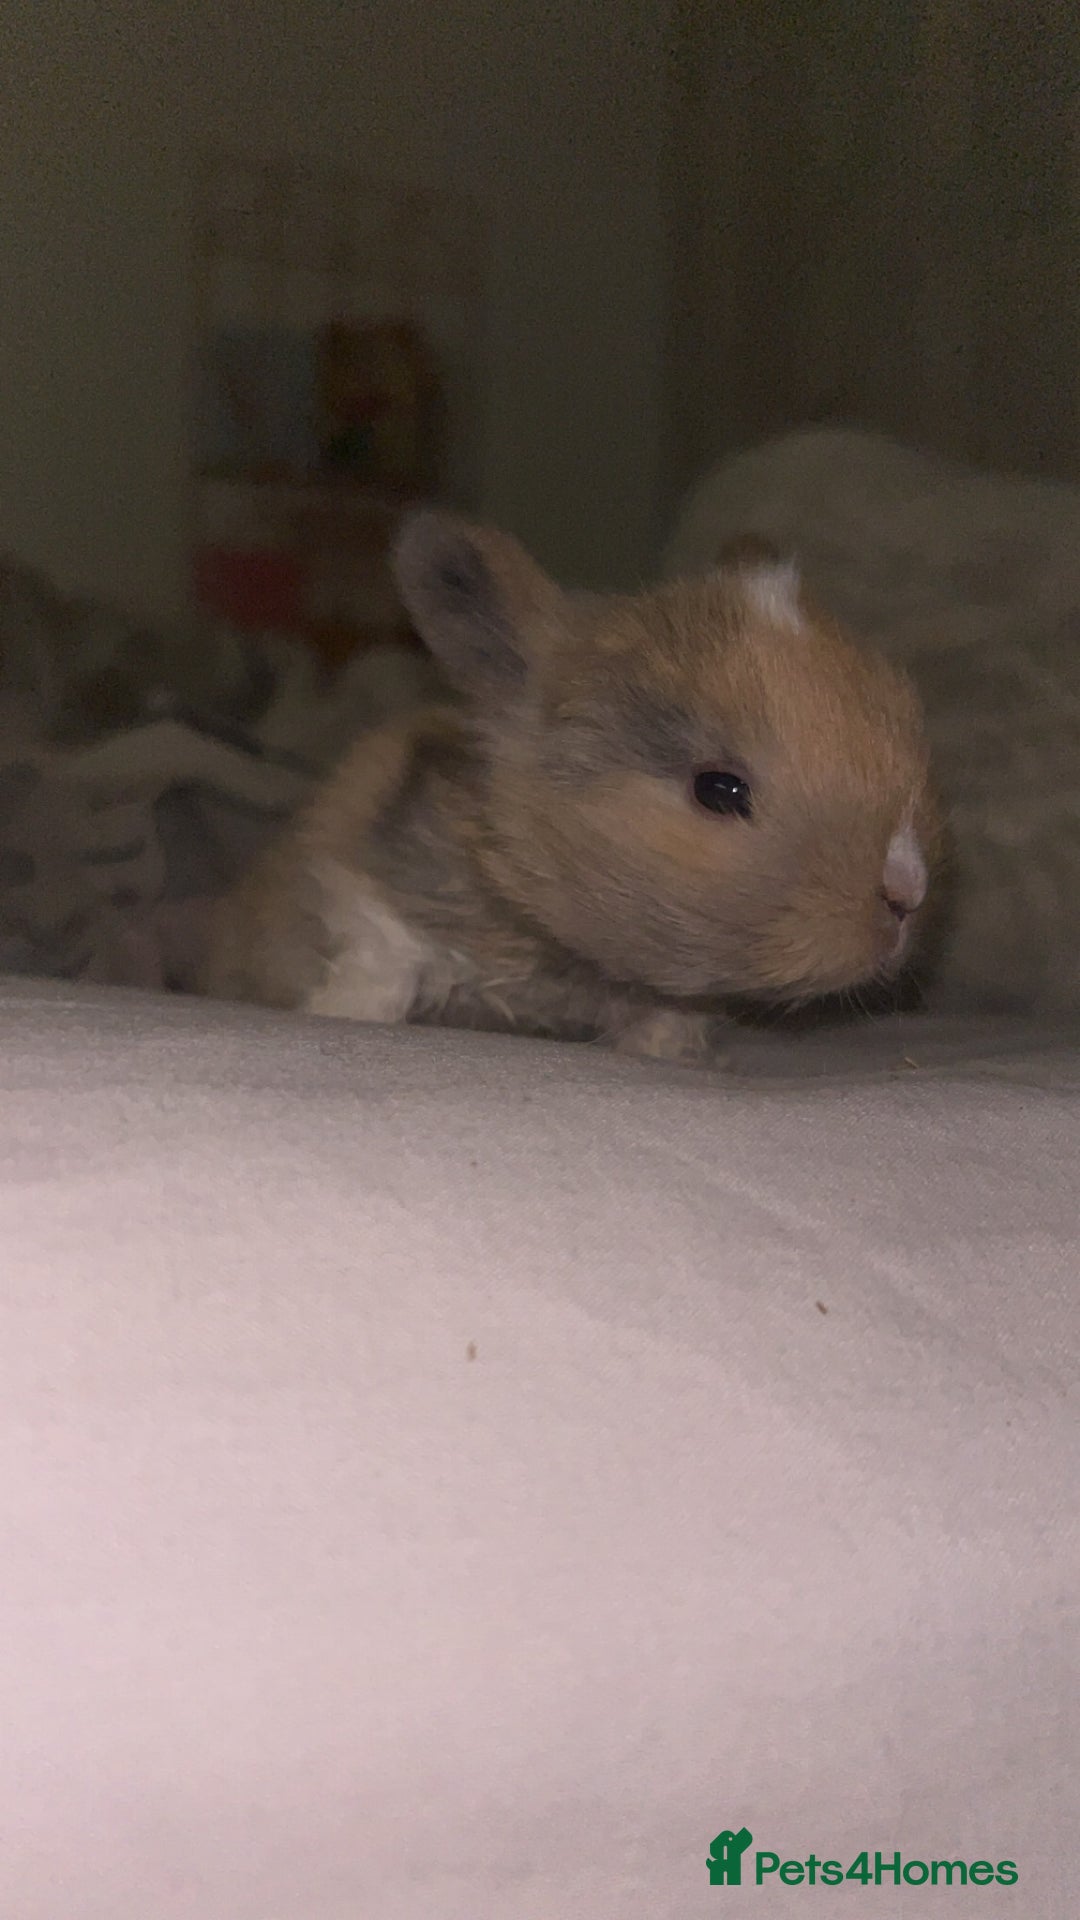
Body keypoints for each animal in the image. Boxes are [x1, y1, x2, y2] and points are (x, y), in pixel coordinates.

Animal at [198, 512, 944, 1062]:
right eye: (720, 791)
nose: (906, 893)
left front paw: (663, 1051)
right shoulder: (379, 902)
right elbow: (382, 963)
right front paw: (342, 1016)